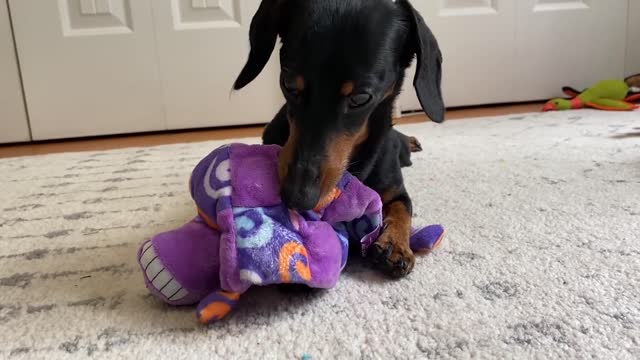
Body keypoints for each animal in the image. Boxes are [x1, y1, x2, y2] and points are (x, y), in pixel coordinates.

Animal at [231, 0, 444, 278]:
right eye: (289, 84)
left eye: (361, 98)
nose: (297, 197)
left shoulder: (396, 191)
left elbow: (402, 209)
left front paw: (396, 245)